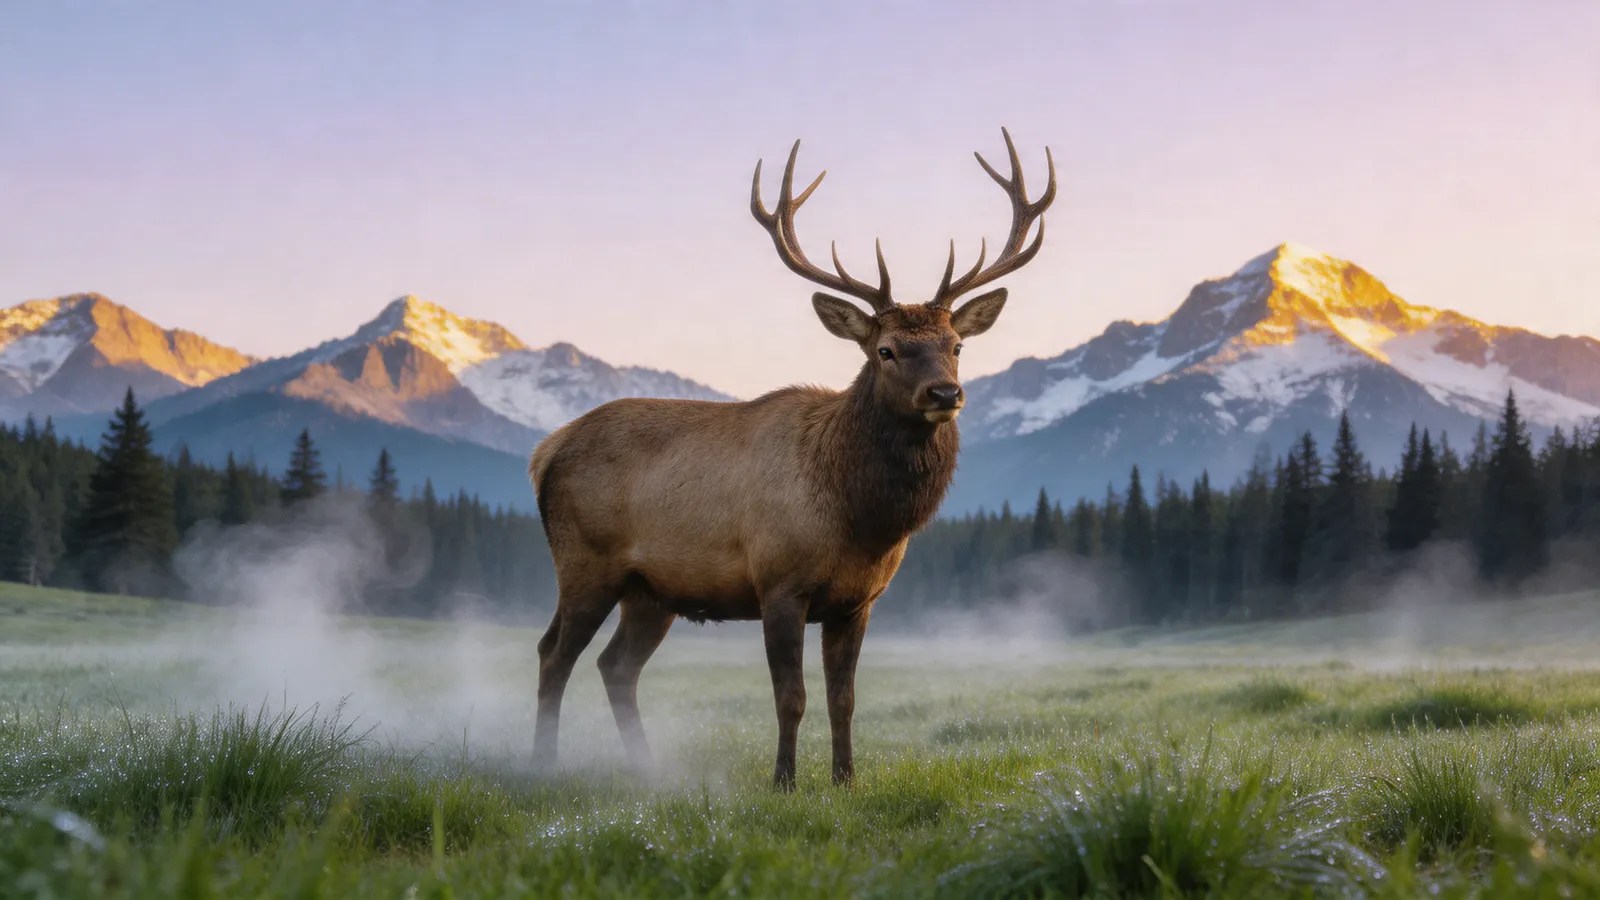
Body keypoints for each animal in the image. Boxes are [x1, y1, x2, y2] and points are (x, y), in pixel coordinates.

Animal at [527, 128, 1056, 789]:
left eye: (957, 345)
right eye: (886, 349)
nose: (944, 394)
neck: (861, 520)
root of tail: (546, 452)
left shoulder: (857, 601)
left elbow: (843, 699)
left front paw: (845, 780)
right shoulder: (779, 582)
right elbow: (791, 697)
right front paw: (784, 781)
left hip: (649, 591)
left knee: (615, 665)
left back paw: (648, 769)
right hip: (585, 564)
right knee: (554, 654)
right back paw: (542, 764)